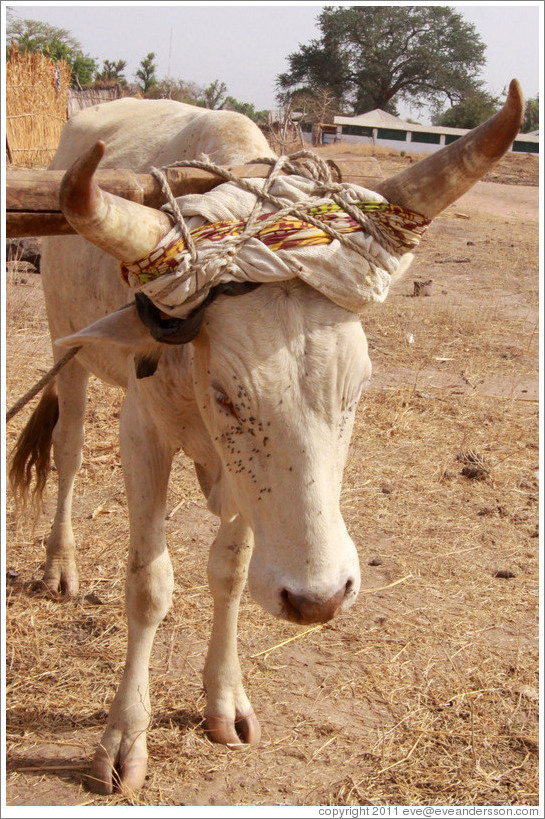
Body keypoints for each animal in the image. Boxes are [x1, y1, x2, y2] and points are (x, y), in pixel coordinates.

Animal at [9, 83, 524, 796]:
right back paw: (60, 565)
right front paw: (124, 737)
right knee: (69, 448)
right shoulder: (144, 437)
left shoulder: (244, 485)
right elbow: (149, 584)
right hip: (70, 348)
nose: (318, 599)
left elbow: (228, 571)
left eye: (359, 386)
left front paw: (224, 702)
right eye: (227, 393)